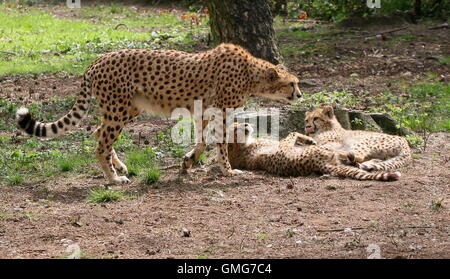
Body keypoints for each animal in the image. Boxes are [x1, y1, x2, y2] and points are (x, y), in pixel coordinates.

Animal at [16, 43, 302, 184]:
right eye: (292, 83)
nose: (300, 95)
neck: (252, 74)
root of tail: (95, 61)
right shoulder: (220, 111)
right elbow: (219, 143)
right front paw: (229, 172)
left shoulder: (203, 111)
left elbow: (203, 140)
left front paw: (187, 162)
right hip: (119, 109)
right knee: (101, 144)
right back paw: (114, 178)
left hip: (127, 108)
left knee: (98, 133)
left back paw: (119, 166)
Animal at [229, 123, 400, 182]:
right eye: (235, 128)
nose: (246, 124)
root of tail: (319, 165)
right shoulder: (284, 146)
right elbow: (292, 132)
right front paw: (308, 139)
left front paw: (309, 139)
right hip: (327, 153)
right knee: (345, 155)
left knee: (354, 163)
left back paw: (371, 163)